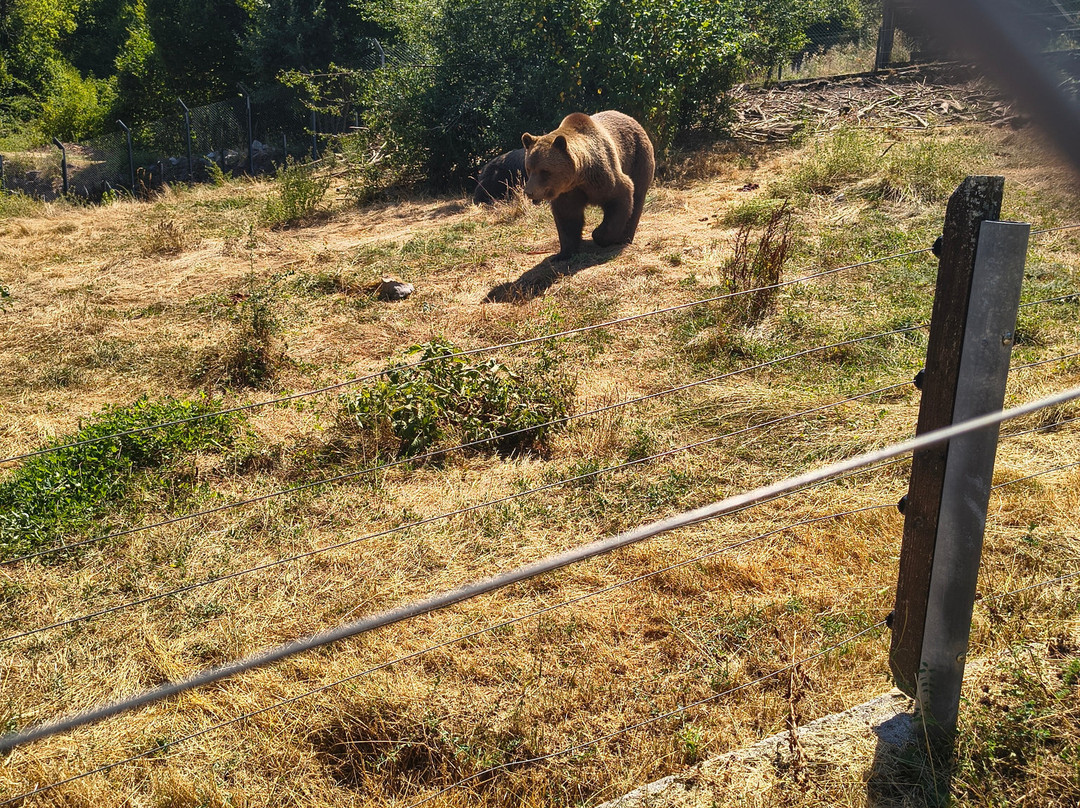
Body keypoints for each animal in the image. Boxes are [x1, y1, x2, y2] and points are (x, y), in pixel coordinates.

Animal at [521, 111, 654, 260]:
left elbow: (620, 196)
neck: (580, 176)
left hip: (638, 158)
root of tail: (633, 120)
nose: (529, 192)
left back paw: (624, 238)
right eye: (529, 168)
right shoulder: (568, 191)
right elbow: (567, 216)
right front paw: (565, 252)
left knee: (637, 196)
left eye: (544, 171)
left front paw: (599, 235)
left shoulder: (604, 177)